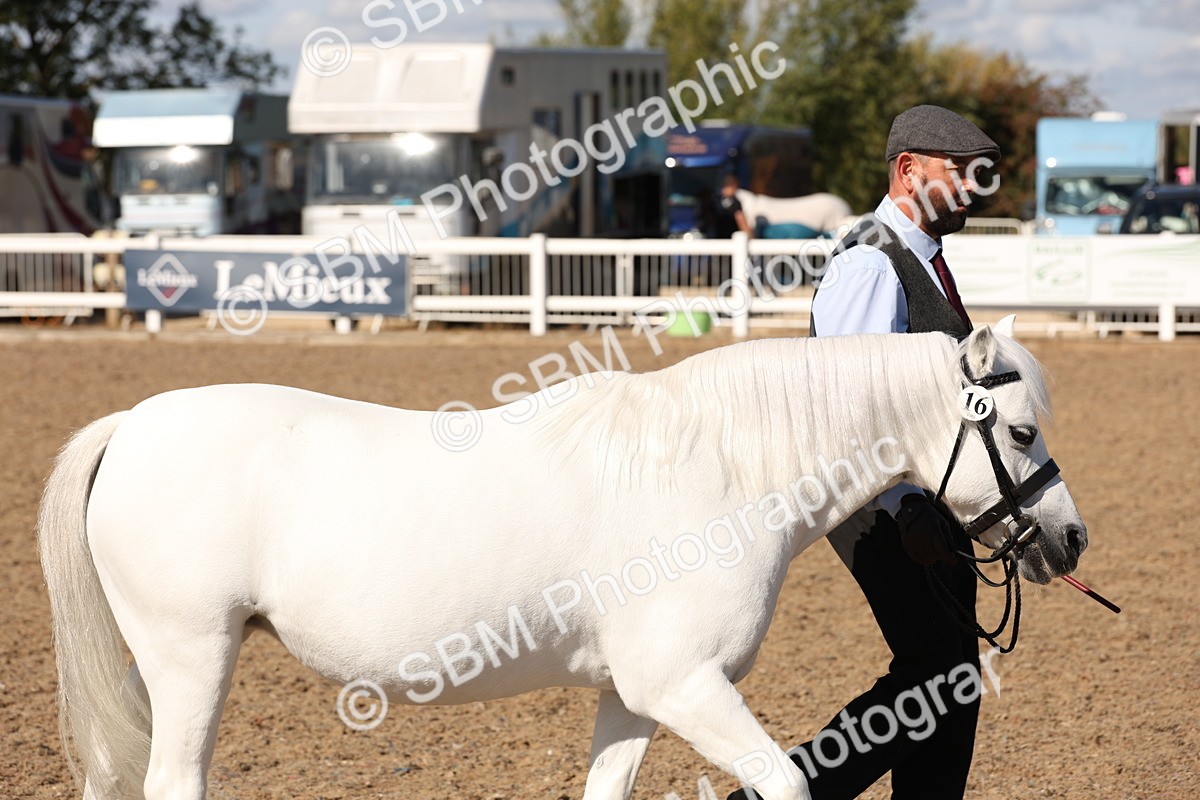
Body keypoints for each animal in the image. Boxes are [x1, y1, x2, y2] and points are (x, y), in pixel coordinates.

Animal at [38, 319, 1087, 800]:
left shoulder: (632, 694)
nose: (1070, 537)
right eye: (1021, 430)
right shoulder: (685, 685)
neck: (720, 468)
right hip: (193, 657)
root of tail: (133, 425)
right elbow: (786, 782)